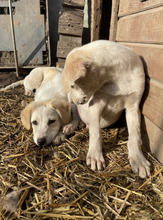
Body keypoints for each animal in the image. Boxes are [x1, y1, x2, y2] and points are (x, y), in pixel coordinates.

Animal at [62, 39, 150, 179]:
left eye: (72, 85)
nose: (70, 100)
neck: (114, 80)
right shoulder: (95, 105)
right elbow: (95, 133)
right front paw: (95, 157)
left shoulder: (133, 106)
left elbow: (135, 135)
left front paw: (139, 161)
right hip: (75, 108)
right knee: (76, 117)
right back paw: (70, 126)